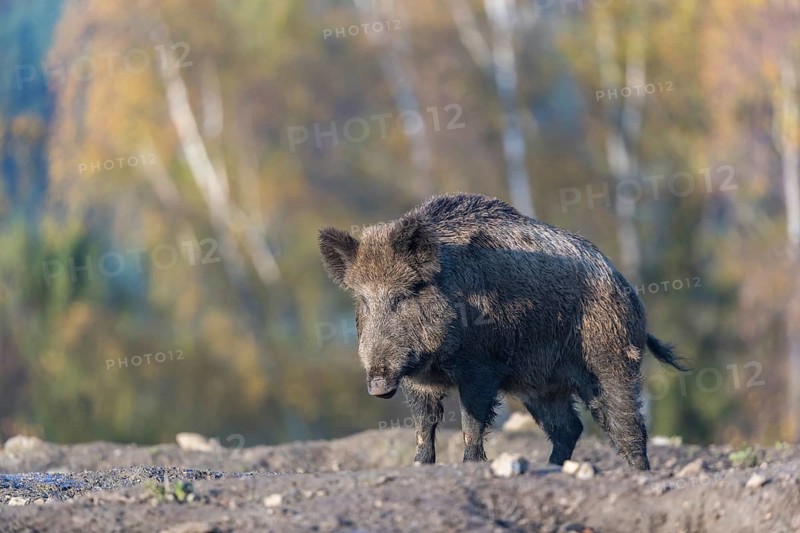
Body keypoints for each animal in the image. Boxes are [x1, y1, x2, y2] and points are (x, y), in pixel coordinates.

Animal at [318, 193, 685, 470]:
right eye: (362, 299)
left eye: (407, 293)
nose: (378, 385)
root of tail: (627, 289)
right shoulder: (417, 379)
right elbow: (424, 423)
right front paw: (420, 464)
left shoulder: (481, 368)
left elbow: (472, 421)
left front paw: (472, 463)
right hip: (540, 386)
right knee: (569, 428)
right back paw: (551, 468)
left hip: (612, 360)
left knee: (628, 426)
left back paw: (638, 471)